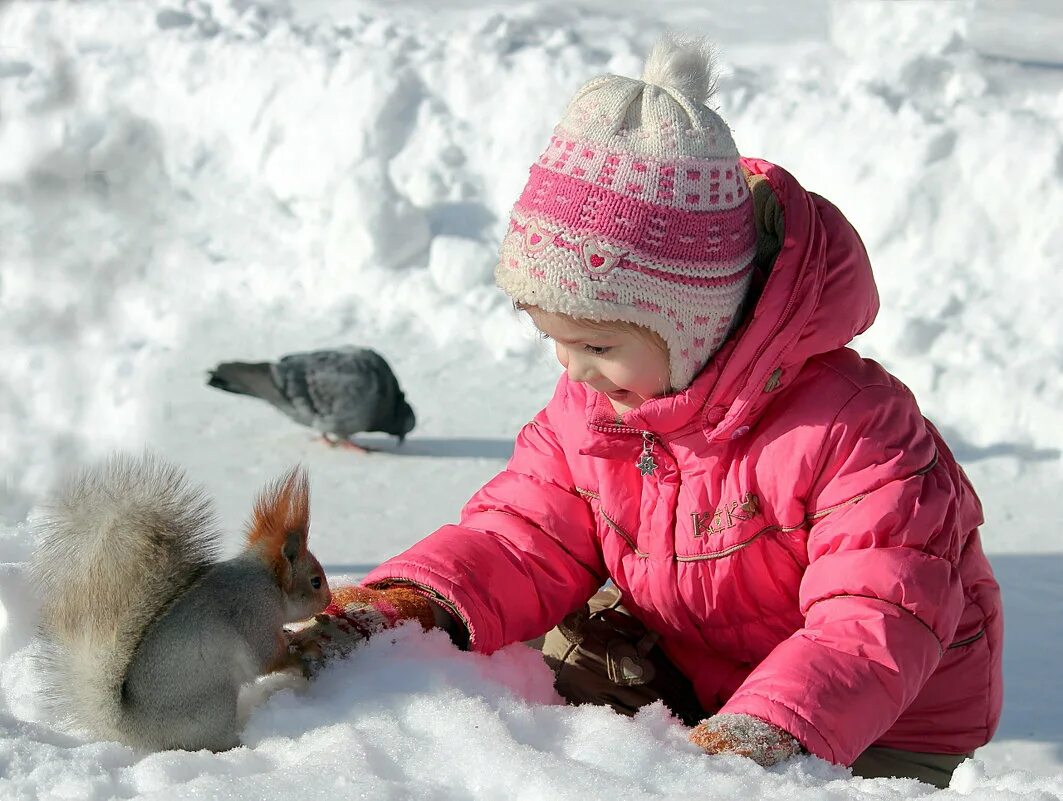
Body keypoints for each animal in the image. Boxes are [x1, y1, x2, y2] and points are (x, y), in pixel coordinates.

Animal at [30, 452, 327, 752]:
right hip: (215, 702)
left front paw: (296, 636)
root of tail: (134, 731)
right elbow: (268, 658)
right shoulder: (255, 613)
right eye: (315, 581)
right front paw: (302, 655)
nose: (328, 601)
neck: (268, 582)